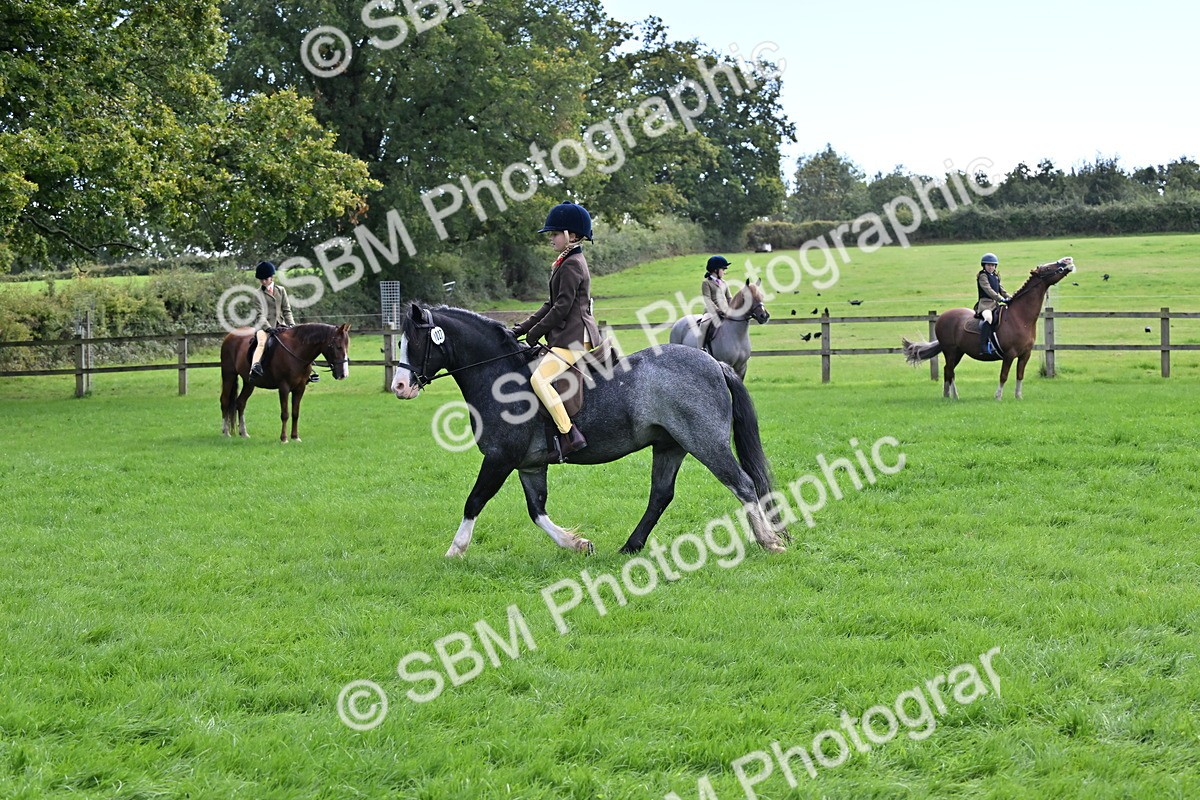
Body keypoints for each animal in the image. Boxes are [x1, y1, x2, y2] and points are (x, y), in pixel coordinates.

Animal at [220, 323, 351, 441]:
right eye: (338, 346)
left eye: (347, 346)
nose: (343, 374)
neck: (296, 350)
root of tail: (231, 335)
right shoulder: (284, 387)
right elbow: (285, 414)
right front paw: (284, 438)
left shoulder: (300, 388)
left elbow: (295, 413)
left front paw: (295, 437)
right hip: (228, 375)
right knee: (225, 401)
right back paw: (226, 432)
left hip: (249, 382)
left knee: (240, 403)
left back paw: (243, 433)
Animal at [390, 303, 789, 557]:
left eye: (416, 341)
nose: (399, 387)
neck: (499, 376)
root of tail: (714, 362)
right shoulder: (529, 465)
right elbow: (537, 510)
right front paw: (577, 544)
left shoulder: (499, 458)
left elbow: (474, 501)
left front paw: (454, 551)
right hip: (670, 445)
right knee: (661, 495)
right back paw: (630, 546)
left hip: (706, 442)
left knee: (743, 484)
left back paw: (769, 542)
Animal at [902, 258, 1075, 399]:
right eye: (1047, 268)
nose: (1068, 261)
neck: (1020, 317)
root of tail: (942, 317)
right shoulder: (1009, 354)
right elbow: (1003, 375)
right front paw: (998, 397)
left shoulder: (1025, 354)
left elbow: (1020, 375)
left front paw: (1018, 397)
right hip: (950, 351)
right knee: (950, 371)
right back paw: (954, 396)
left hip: (958, 352)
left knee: (947, 371)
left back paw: (947, 395)